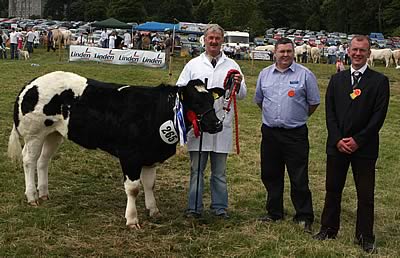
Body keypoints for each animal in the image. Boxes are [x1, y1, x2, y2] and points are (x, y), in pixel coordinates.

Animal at [8, 70, 225, 228]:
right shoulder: (130, 156)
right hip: (34, 134)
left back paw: (43, 193)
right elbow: (134, 188)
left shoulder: (150, 155)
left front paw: (153, 210)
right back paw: (32, 197)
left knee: (43, 161)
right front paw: (132, 219)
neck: (156, 111)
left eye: (211, 101)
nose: (216, 124)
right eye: (196, 102)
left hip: (53, 134)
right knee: (29, 160)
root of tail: (31, 84)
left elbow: (149, 185)